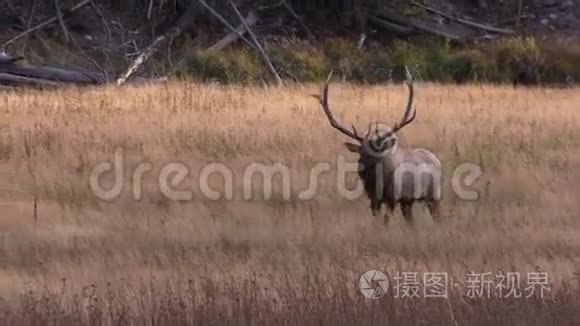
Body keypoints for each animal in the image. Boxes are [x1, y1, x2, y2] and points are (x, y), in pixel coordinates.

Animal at [314, 67, 442, 227]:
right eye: (360, 153)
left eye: (374, 153)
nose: (361, 169)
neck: (377, 184)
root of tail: (436, 159)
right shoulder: (373, 199)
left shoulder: (392, 197)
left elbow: (386, 220)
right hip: (408, 201)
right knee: (410, 220)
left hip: (434, 194)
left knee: (436, 215)